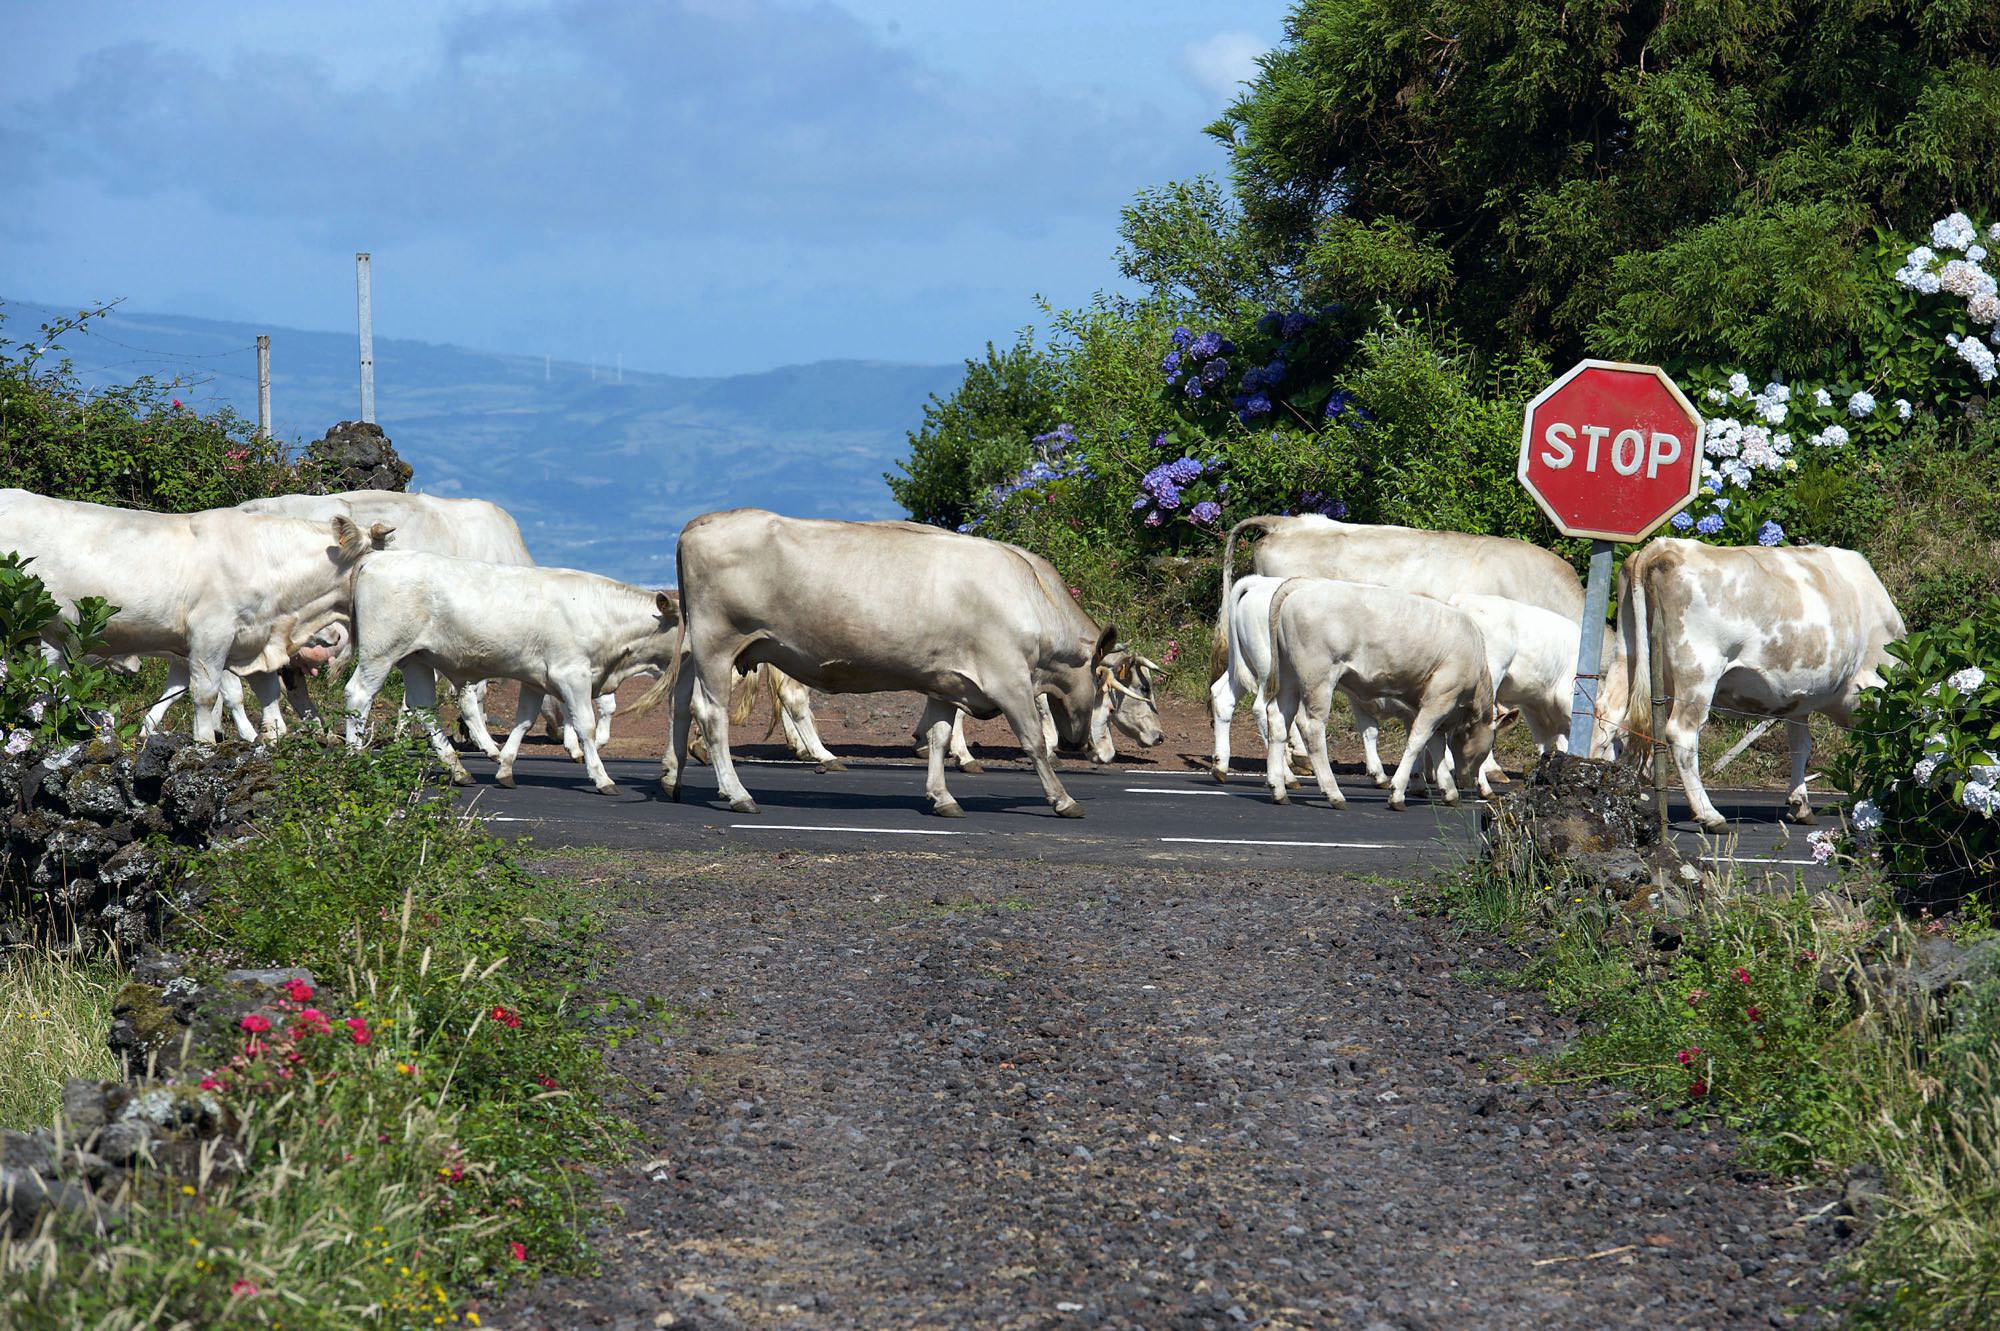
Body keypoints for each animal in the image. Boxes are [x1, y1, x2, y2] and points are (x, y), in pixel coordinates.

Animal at [0, 488, 388, 741]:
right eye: (371, 563)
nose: (334, 640)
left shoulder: (255, 640)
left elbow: (269, 701)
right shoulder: (210, 635)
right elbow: (206, 695)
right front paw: (204, 746)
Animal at [341, 551, 679, 794]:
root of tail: (377, 557)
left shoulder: (537, 680)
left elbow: (524, 722)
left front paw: (505, 769)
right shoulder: (572, 675)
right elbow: (586, 726)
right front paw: (601, 778)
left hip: (417, 660)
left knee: (425, 709)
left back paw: (458, 770)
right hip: (381, 652)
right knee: (359, 695)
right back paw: (354, 758)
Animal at [647, 510, 1161, 818]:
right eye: (1121, 691)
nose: (1097, 749)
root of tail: (701, 523)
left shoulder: (947, 680)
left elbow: (938, 736)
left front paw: (942, 796)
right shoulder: (1008, 679)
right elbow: (1033, 740)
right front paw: (1062, 798)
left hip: (697, 647)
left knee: (677, 702)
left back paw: (672, 779)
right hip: (719, 645)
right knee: (710, 714)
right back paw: (738, 794)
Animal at [1262, 577, 1497, 811]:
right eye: (1484, 753)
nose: (1468, 782)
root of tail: (1303, 583)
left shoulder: (1430, 705)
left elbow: (1435, 744)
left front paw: (1449, 791)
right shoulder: (1440, 698)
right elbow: (1417, 741)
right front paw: (1398, 793)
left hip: (1288, 677)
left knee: (1277, 718)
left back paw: (1278, 790)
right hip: (1319, 680)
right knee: (1311, 727)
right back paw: (1334, 794)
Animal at [1603, 539, 1904, 831]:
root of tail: (1662, 547)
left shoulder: (1799, 701)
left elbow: (1801, 746)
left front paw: (1800, 804)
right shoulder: (1874, 687)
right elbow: (1882, 744)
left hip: (1627, 656)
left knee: (1609, 719)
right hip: (1698, 671)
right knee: (1682, 734)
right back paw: (1710, 815)